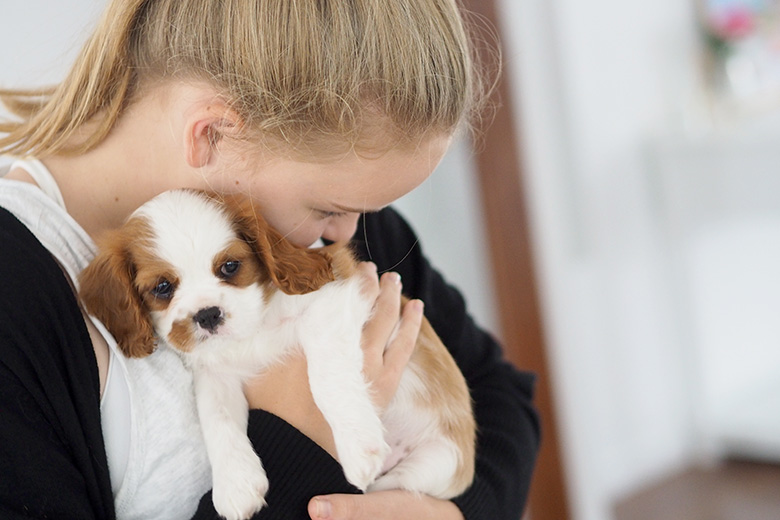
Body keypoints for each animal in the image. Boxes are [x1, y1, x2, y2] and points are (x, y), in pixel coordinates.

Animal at [82, 190, 478, 520]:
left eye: (230, 267)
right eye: (163, 287)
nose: (207, 314)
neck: (255, 330)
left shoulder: (335, 298)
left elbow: (326, 379)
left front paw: (358, 444)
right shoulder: (215, 372)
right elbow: (216, 418)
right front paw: (235, 483)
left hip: (435, 463)